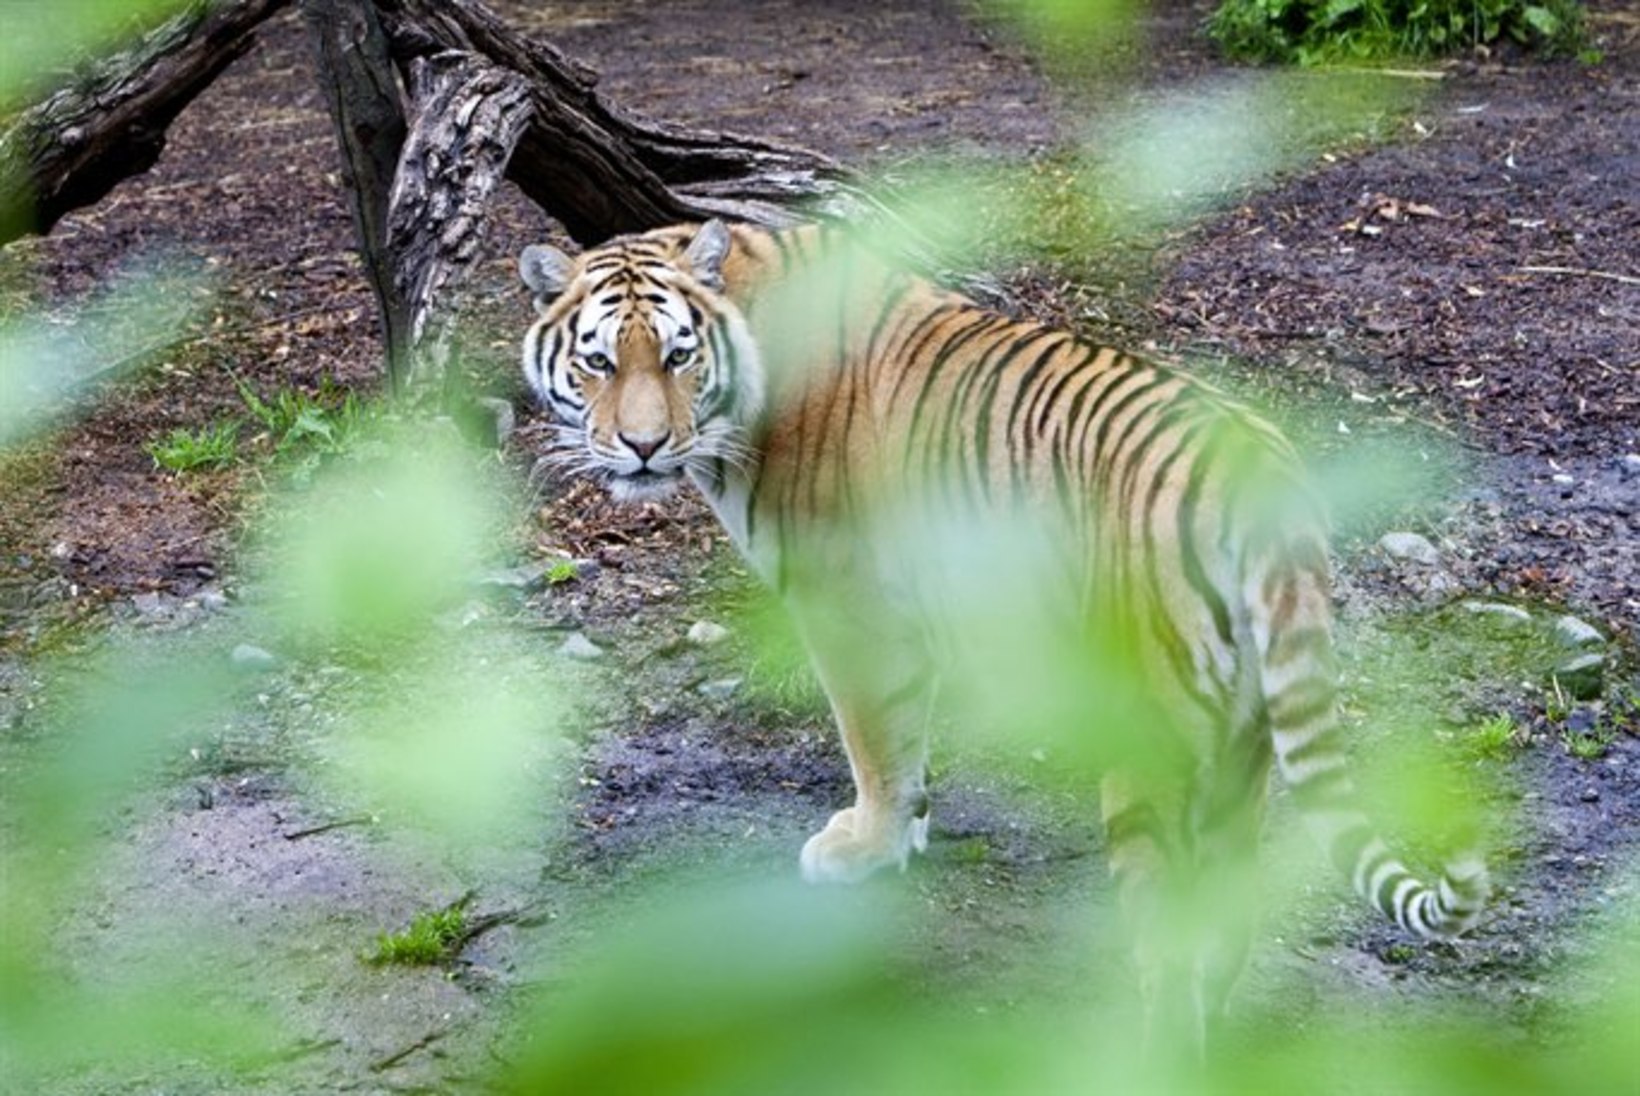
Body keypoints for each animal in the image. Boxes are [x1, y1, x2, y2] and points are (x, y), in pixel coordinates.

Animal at [518, 216, 1495, 1043]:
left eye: (678, 356)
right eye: (599, 362)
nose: (644, 447)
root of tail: (1269, 486)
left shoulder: (851, 609)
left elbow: (873, 739)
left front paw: (866, 845)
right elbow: (910, 740)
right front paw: (907, 831)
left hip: (1148, 742)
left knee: (1168, 942)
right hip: (1247, 741)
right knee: (1225, 925)